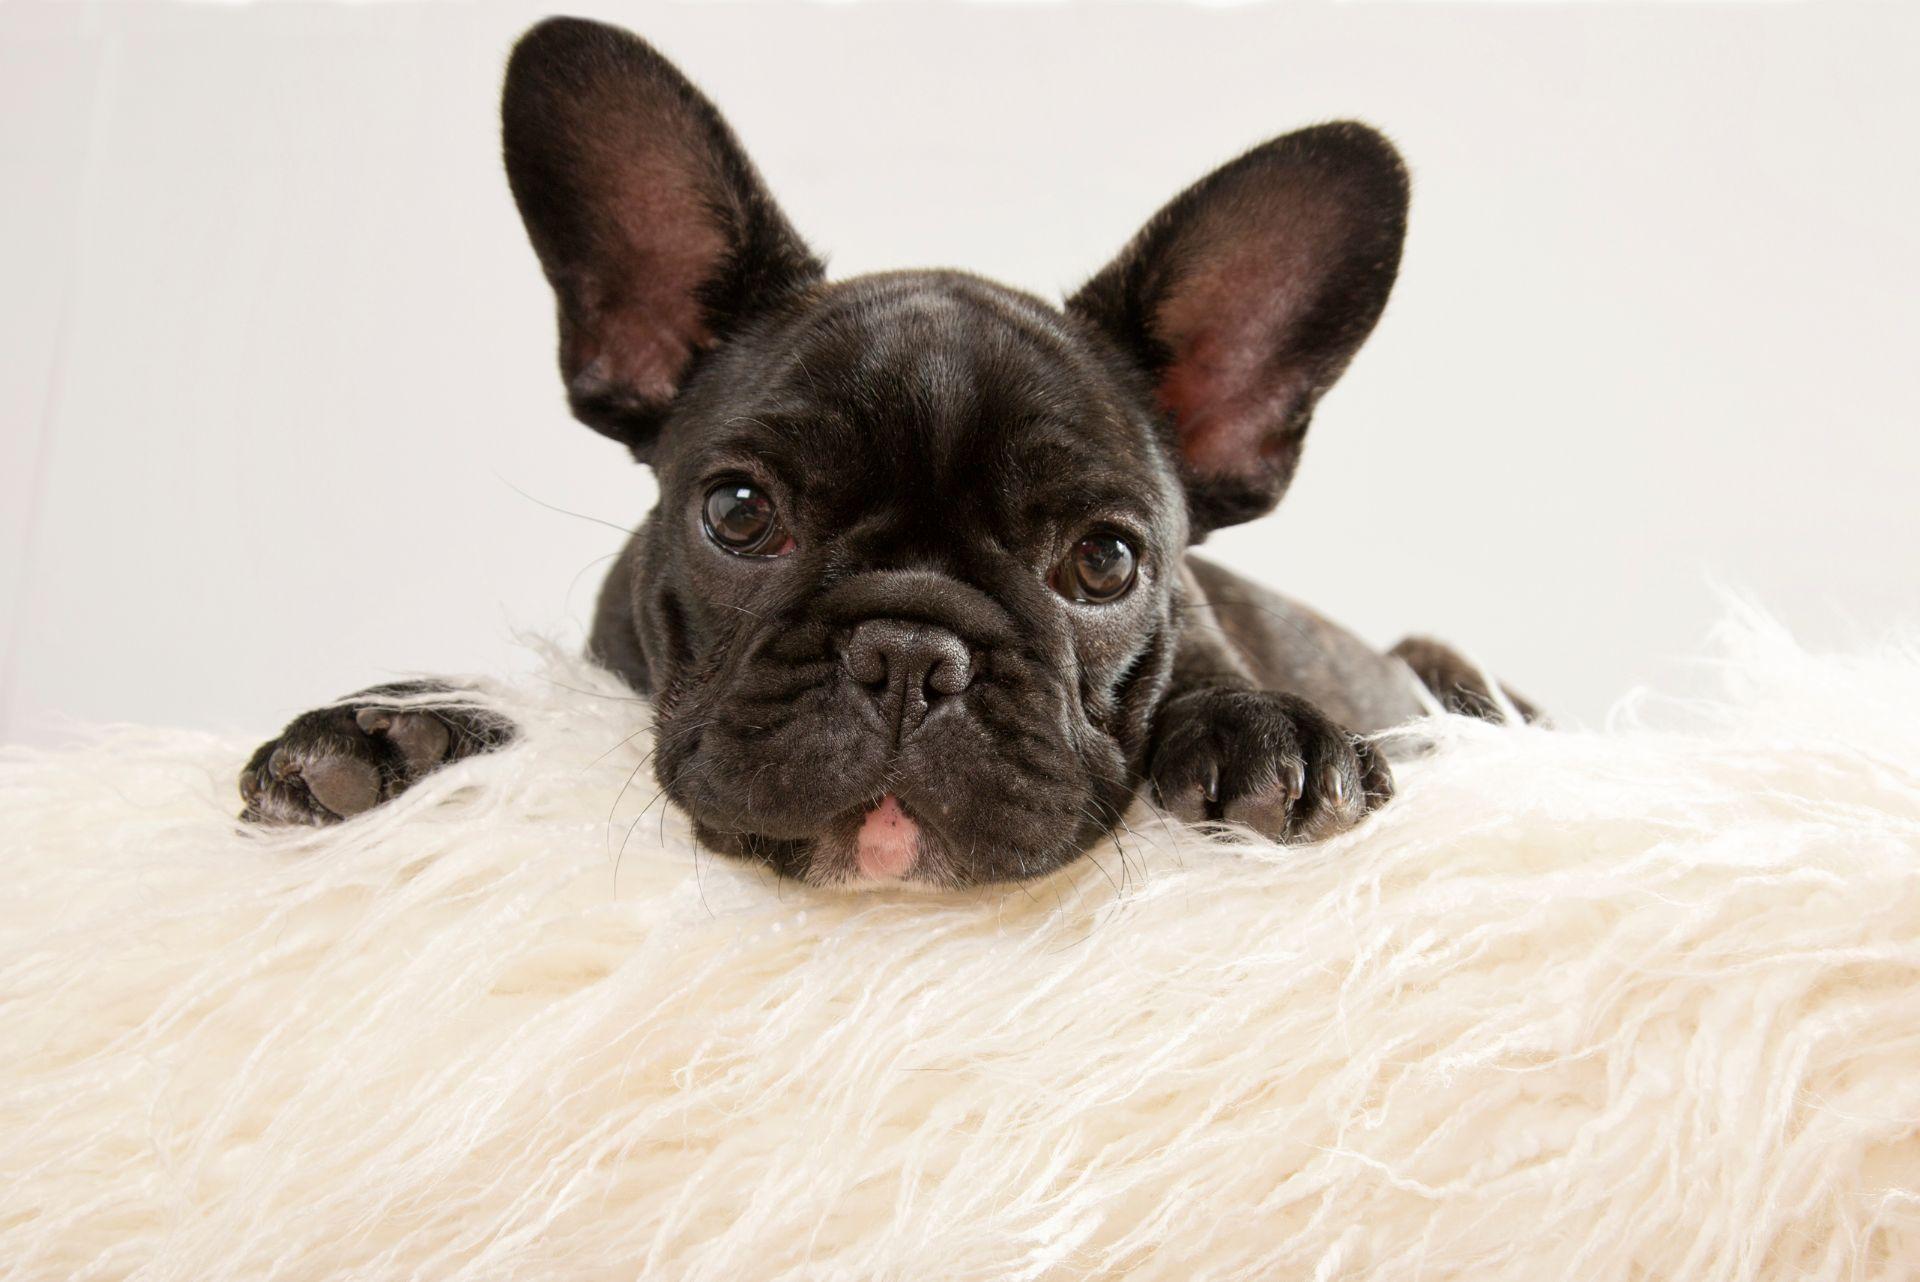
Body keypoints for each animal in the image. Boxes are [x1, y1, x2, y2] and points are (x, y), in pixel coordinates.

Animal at [240, 14, 1528, 886]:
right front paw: (389, 728)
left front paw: (1268, 736)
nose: (911, 655)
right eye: (738, 512)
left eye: (1105, 563)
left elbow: (1215, 675)